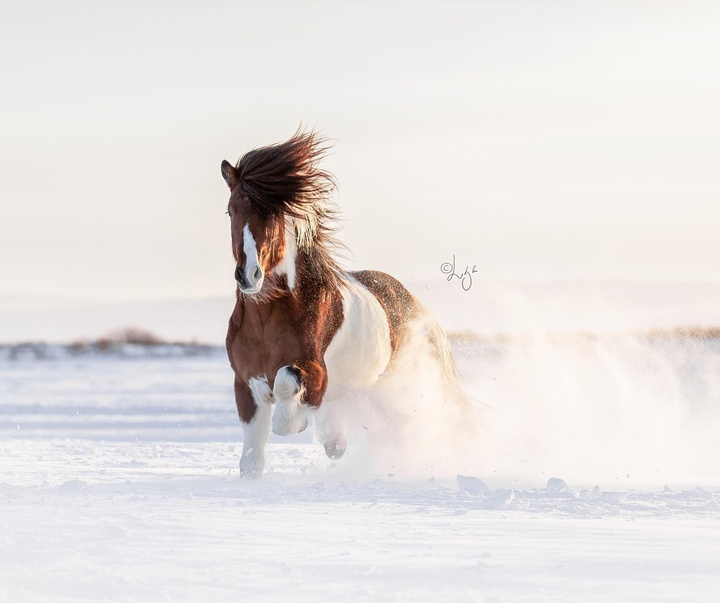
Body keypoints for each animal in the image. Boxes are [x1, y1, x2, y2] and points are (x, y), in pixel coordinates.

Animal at [222, 131, 464, 476]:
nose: (248, 275)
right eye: (230, 211)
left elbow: (287, 390)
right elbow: (252, 460)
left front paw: (302, 423)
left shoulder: (315, 372)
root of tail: (419, 309)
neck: (267, 318)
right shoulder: (245, 384)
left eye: (274, 214)